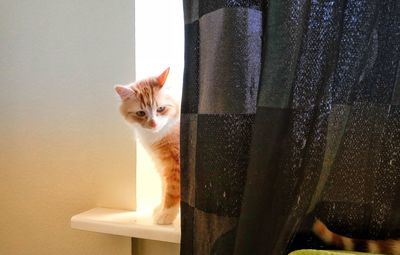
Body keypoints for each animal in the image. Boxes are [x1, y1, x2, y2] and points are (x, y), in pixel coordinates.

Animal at [114, 67, 180, 225]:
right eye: (140, 113)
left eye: (160, 109)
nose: (153, 124)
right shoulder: (163, 165)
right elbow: (164, 189)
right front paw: (160, 209)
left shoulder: (175, 165)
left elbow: (172, 191)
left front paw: (166, 215)